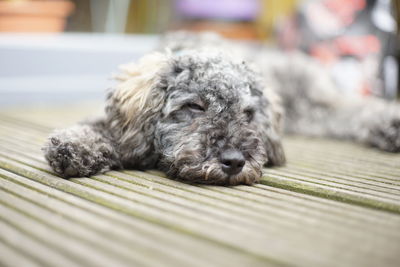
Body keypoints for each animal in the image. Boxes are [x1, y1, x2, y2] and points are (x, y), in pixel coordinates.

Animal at [43, 31, 400, 186]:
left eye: (248, 114)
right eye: (194, 106)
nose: (234, 161)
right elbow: (99, 127)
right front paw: (76, 146)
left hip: (314, 99)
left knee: (354, 107)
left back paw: (390, 123)